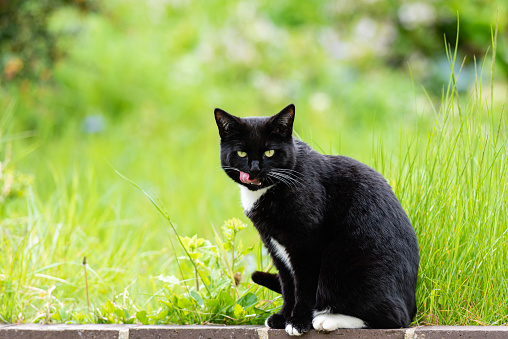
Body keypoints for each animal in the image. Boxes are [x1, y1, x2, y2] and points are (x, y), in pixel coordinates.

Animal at [213, 105, 416, 336]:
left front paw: (298, 322)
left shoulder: (307, 245)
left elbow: (304, 286)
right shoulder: (274, 245)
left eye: (269, 152)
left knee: (394, 318)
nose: (254, 169)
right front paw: (283, 317)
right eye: (241, 153)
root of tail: (412, 304)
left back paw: (327, 319)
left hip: (342, 267)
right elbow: (288, 284)